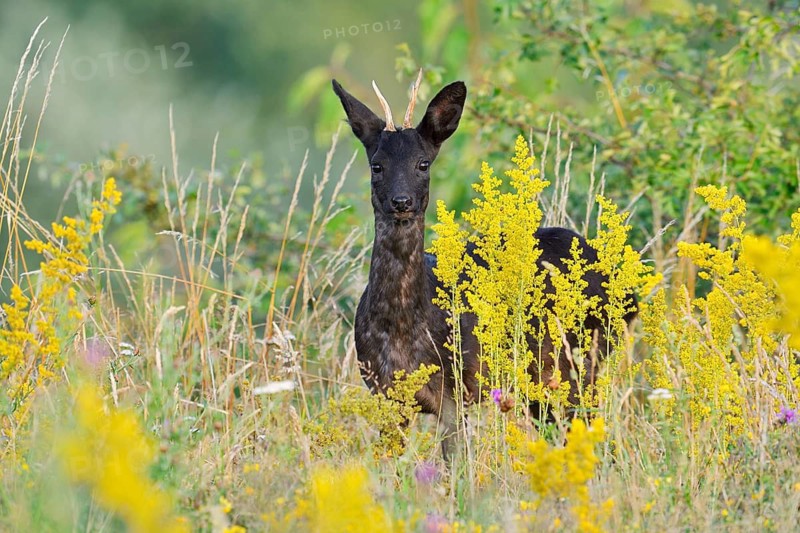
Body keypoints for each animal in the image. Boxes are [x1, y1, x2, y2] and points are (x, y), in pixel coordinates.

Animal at [331, 72, 637, 457]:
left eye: (423, 163)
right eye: (377, 165)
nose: (401, 202)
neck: (402, 330)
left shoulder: (452, 388)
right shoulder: (383, 392)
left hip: (581, 358)